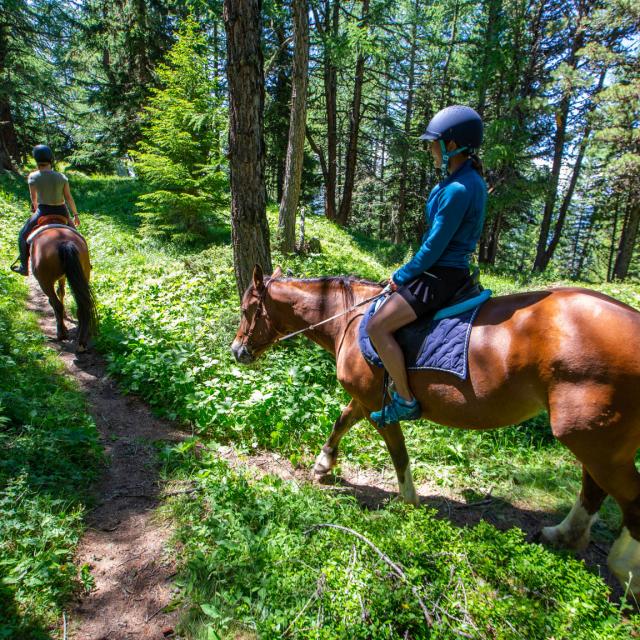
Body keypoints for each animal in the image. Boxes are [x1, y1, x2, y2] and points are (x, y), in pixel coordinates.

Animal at [28, 220, 97, 352]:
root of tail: (64, 242)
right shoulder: (63, 277)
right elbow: (61, 291)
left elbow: (55, 299)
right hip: (84, 273)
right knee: (82, 305)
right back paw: (81, 341)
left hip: (45, 282)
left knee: (56, 304)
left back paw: (61, 334)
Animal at [232, 264, 640, 596]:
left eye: (247, 309)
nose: (237, 351)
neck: (349, 318)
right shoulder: (364, 400)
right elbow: (341, 422)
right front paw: (323, 464)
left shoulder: (378, 404)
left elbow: (397, 451)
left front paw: (408, 500)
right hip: (595, 437)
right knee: (593, 487)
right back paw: (563, 535)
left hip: (592, 437)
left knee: (626, 498)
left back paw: (625, 570)